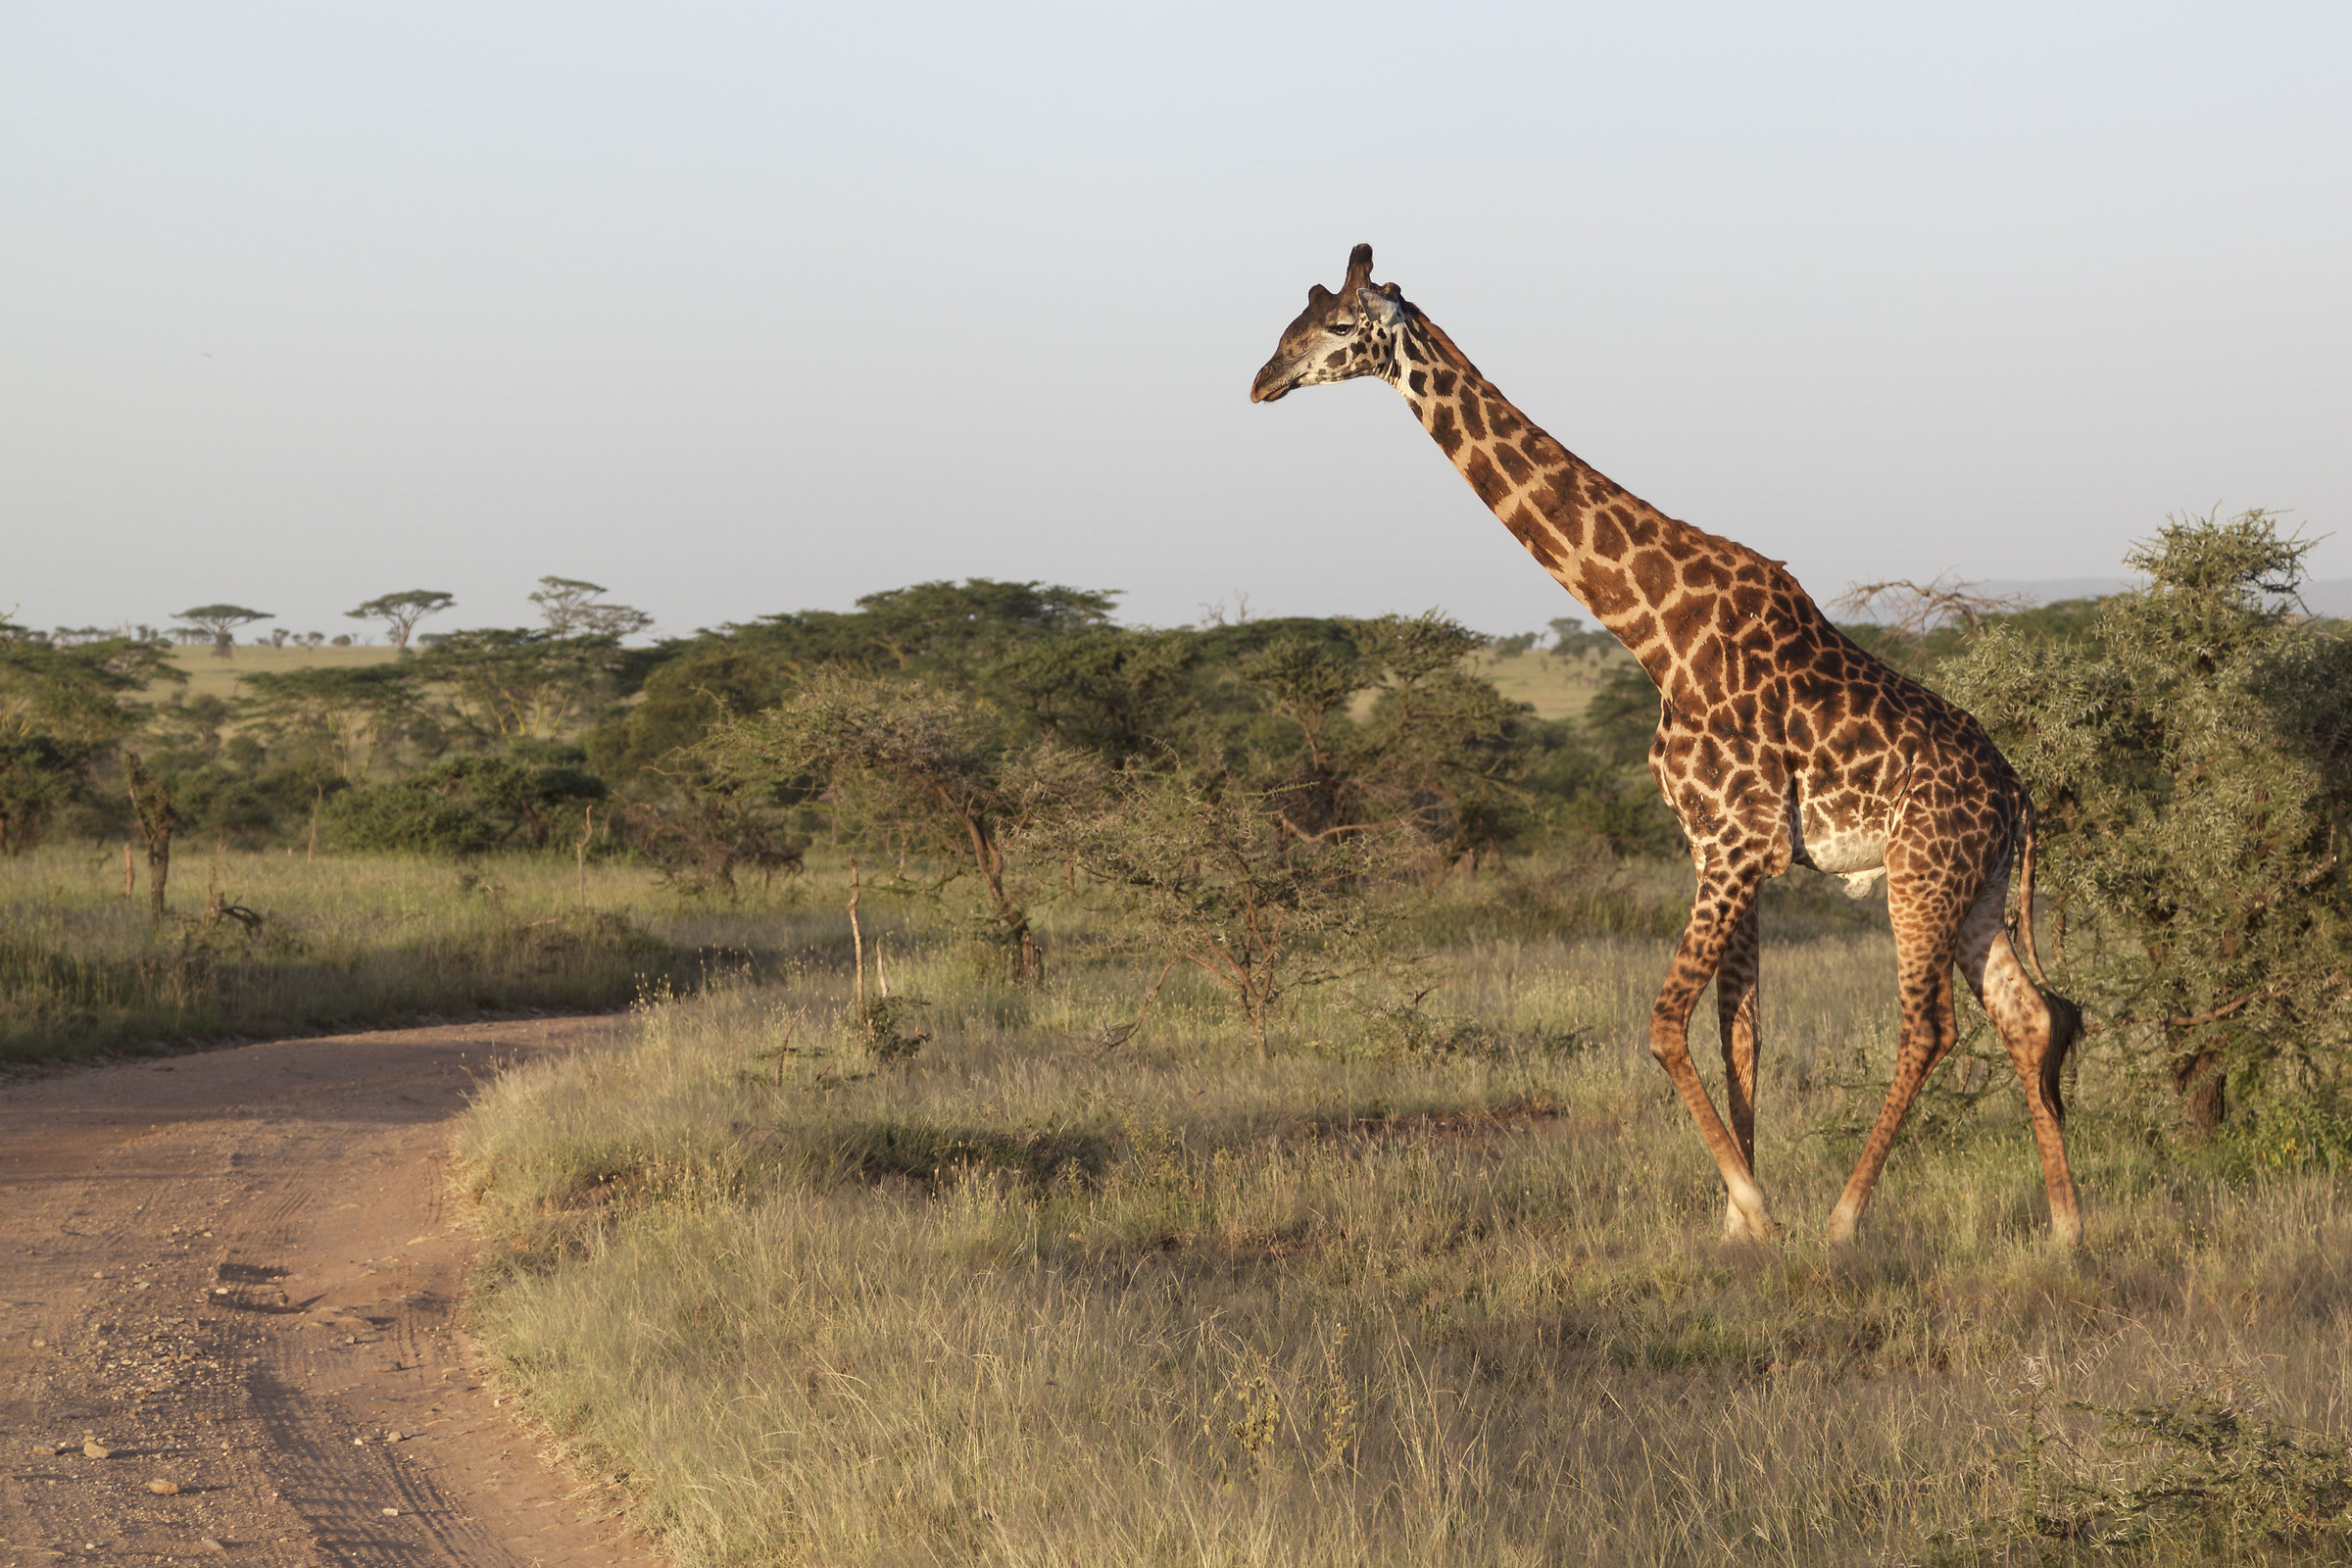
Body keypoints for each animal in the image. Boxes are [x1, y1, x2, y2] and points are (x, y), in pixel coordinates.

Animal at [1252, 244, 2083, 1246]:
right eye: (1293, 320)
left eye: (1337, 326)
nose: (1262, 380)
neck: (1654, 631)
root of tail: (2018, 797)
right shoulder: (1720, 846)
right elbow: (1739, 1031)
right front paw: (1738, 1225)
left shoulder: (1735, 841)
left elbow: (1662, 1023)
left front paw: (1758, 1209)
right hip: (1977, 888)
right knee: (2028, 1017)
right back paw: (2067, 1230)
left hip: (1922, 874)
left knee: (1931, 1027)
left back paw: (1846, 1219)